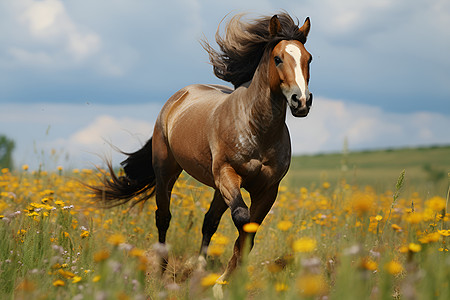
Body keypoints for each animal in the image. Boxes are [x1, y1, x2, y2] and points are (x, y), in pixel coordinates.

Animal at [90, 11, 312, 288]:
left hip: (217, 186)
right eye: (278, 58)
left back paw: (198, 269)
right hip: (167, 172)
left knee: (209, 221)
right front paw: (223, 282)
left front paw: (229, 280)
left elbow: (248, 231)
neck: (256, 128)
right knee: (163, 217)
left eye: (308, 59)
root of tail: (177, 98)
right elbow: (242, 218)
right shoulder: (227, 173)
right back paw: (162, 272)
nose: (301, 101)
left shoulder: (268, 189)